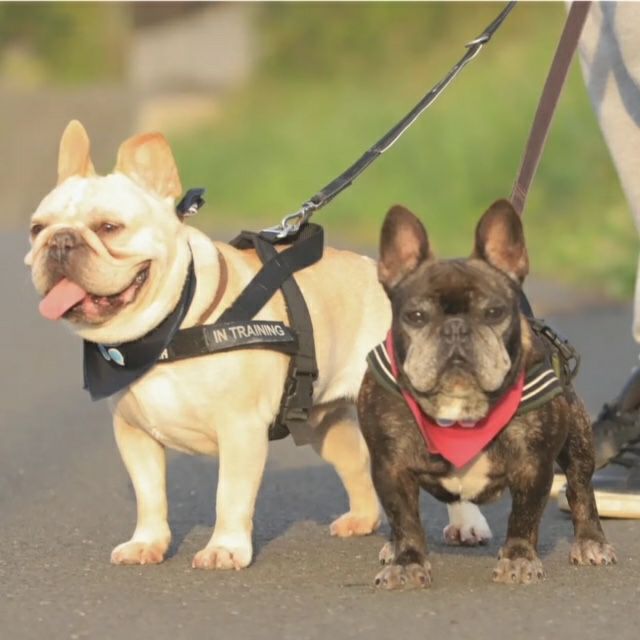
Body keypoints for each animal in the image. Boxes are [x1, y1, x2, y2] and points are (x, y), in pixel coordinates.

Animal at [358, 201, 617, 589]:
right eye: (415, 315)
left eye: (494, 312)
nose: (455, 328)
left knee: (580, 487)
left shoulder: (533, 465)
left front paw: (518, 559)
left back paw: (590, 542)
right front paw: (407, 561)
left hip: (579, 437)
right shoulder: (391, 466)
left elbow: (524, 516)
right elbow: (404, 519)